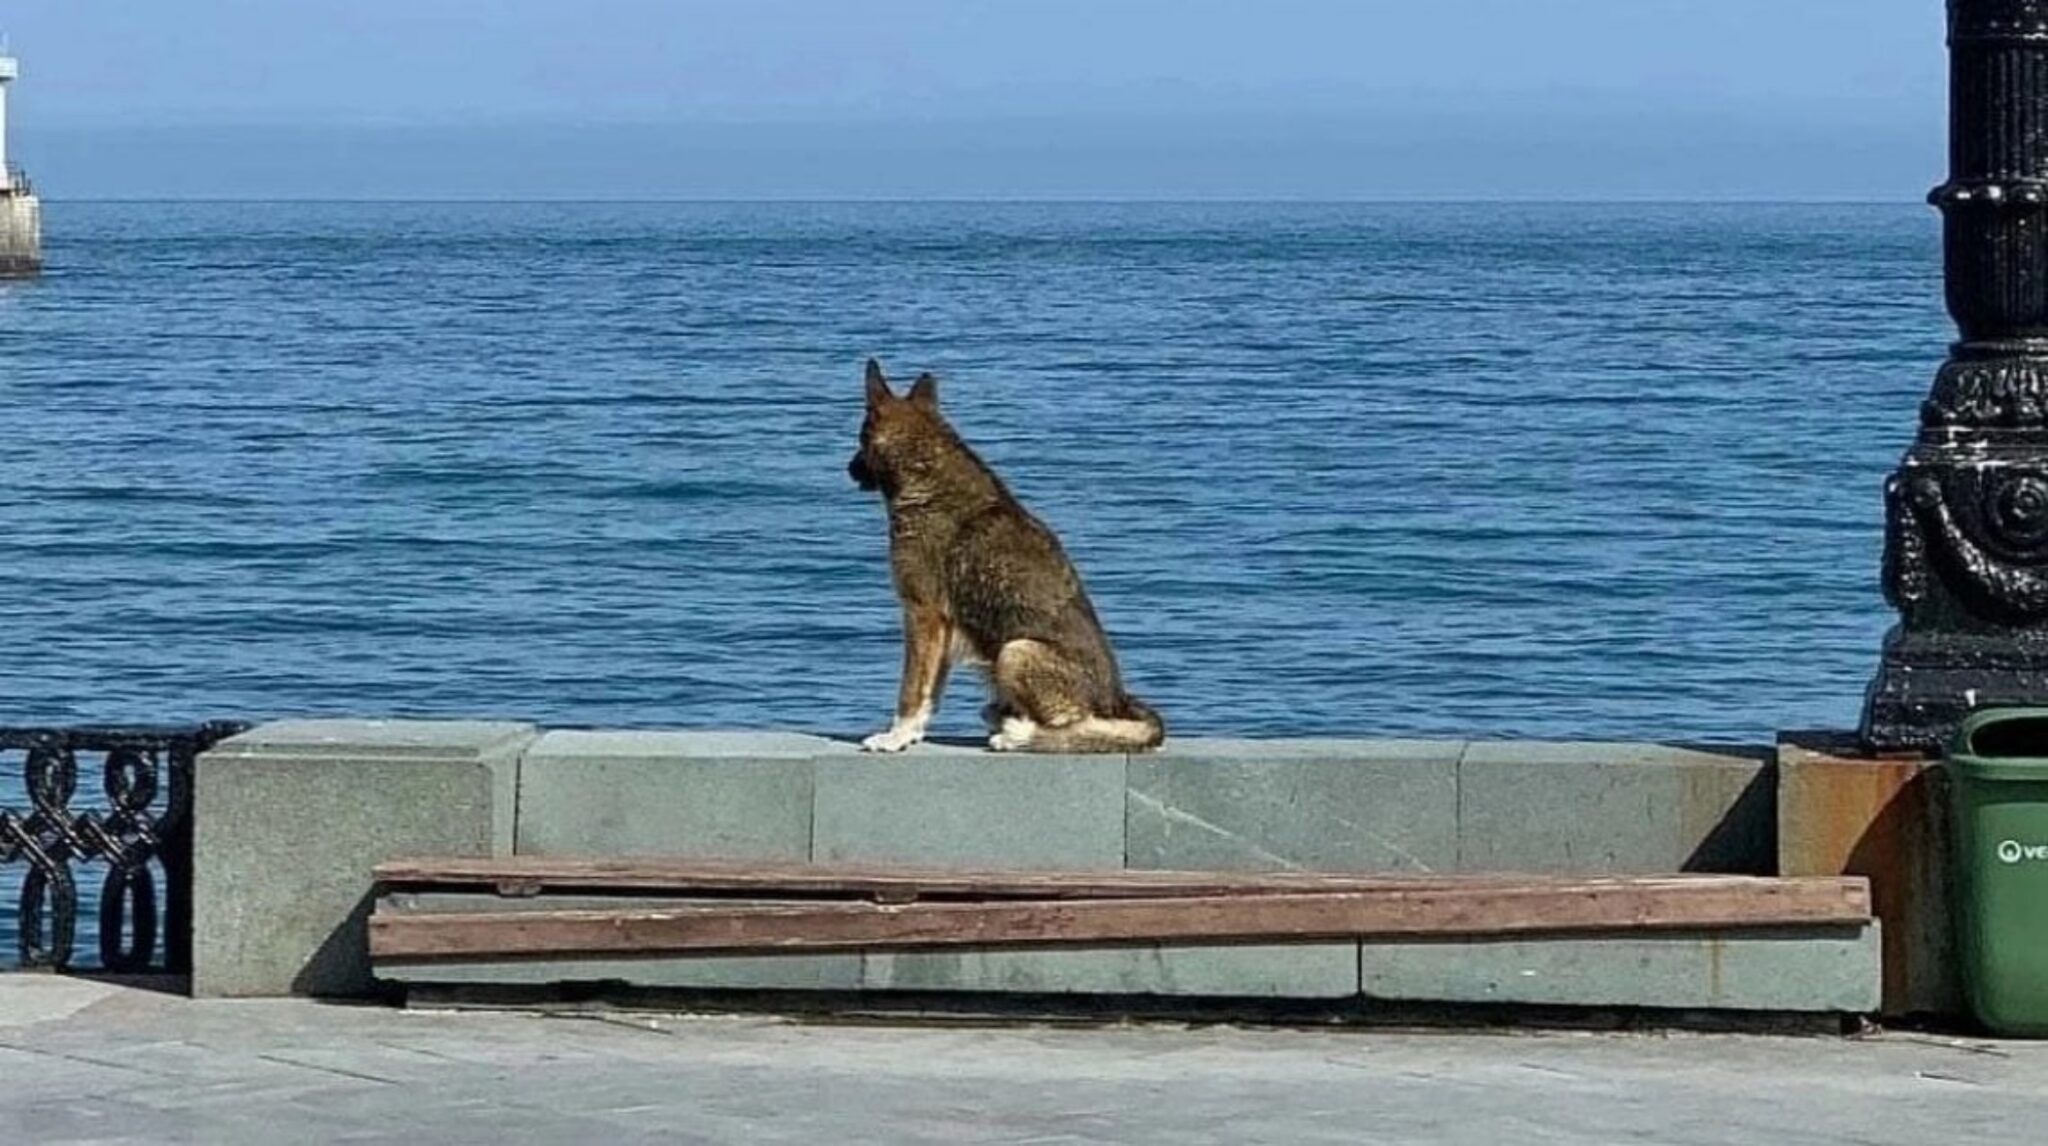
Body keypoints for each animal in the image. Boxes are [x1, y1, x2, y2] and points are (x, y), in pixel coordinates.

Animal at [847, 358, 1171, 753]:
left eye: (860, 440)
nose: (848, 469)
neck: (924, 470)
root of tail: (1118, 700)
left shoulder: (923, 613)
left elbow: (911, 690)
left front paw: (896, 736)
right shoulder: (942, 626)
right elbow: (930, 692)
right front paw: (913, 734)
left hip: (1015, 651)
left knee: (1076, 728)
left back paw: (1016, 733)